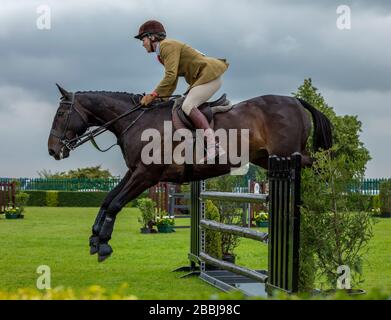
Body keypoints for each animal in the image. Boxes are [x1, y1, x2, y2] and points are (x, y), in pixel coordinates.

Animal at [47, 85, 332, 262]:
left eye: (61, 113)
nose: (52, 150)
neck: (136, 121)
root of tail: (295, 101)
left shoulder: (146, 175)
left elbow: (116, 203)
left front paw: (104, 244)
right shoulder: (135, 172)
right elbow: (108, 200)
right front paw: (95, 238)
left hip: (288, 154)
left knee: (320, 166)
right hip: (265, 157)